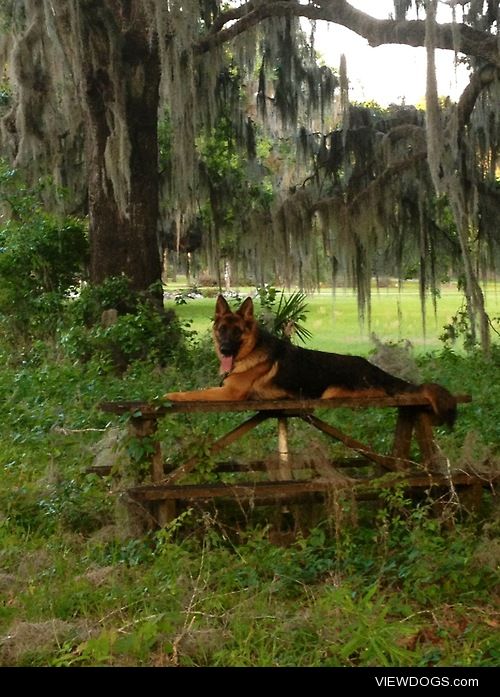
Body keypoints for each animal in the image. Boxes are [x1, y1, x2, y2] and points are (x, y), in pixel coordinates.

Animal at [165, 294, 458, 424]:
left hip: (331, 393)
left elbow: (194, 393)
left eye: (237, 332)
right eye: (222, 330)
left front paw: (170, 395)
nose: (225, 350)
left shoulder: (230, 394)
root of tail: (376, 370)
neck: (250, 351)